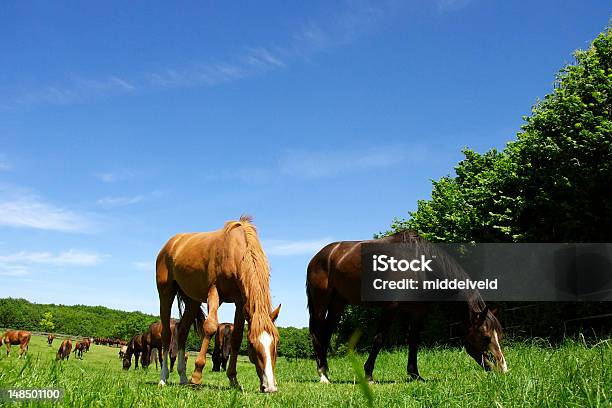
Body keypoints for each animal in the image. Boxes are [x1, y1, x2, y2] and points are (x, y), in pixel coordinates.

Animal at [158, 217, 282, 392]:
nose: (270, 387)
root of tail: (171, 244)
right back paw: (163, 378)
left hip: (192, 300)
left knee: (182, 331)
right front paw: (196, 377)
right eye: (252, 344)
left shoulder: (240, 302)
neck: (235, 250)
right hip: (166, 293)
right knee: (166, 334)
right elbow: (210, 327)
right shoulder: (214, 292)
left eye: (276, 343)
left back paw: (182, 377)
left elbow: (236, 338)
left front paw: (233, 379)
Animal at [306, 231, 506, 384]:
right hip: (320, 303)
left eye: (500, 336)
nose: (503, 370)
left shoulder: (417, 312)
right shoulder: (390, 307)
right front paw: (369, 375)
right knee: (316, 333)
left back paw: (326, 372)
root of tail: (319, 256)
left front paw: (415, 374)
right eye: (486, 337)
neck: (419, 267)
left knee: (326, 334)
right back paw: (323, 375)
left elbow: (413, 341)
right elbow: (379, 339)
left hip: (338, 304)